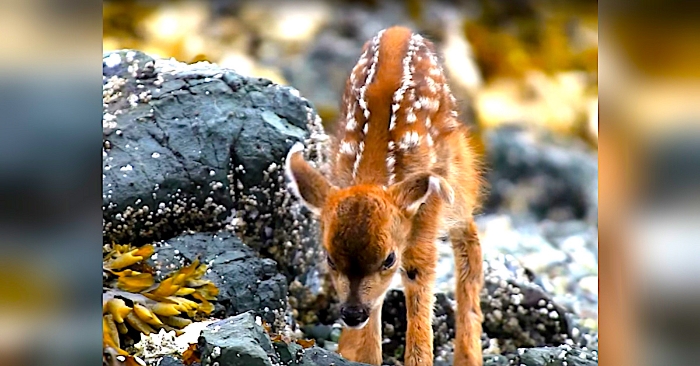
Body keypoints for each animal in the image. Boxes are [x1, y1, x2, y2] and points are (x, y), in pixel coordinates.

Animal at [284, 26, 482, 366]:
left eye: (389, 258)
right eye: (328, 258)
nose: (352, 313)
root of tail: (399, 30)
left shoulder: (424, 222)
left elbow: (419, 284)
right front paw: (356, 352)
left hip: (458, 175)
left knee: (469, 241)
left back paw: (468, 357)